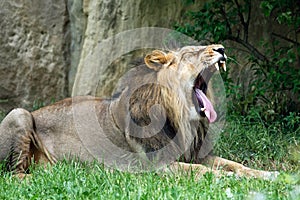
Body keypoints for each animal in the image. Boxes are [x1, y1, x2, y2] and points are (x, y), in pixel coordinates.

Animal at [0, 44, 276, 180]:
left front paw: (268, 174)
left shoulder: (194, 154)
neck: (183, 119)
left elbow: (234, 164)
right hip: (19, 113)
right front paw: (230, 180)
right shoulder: (157, 165)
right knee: (14, 175)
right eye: (192, 53)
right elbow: (202, 172)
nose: (221, 49)